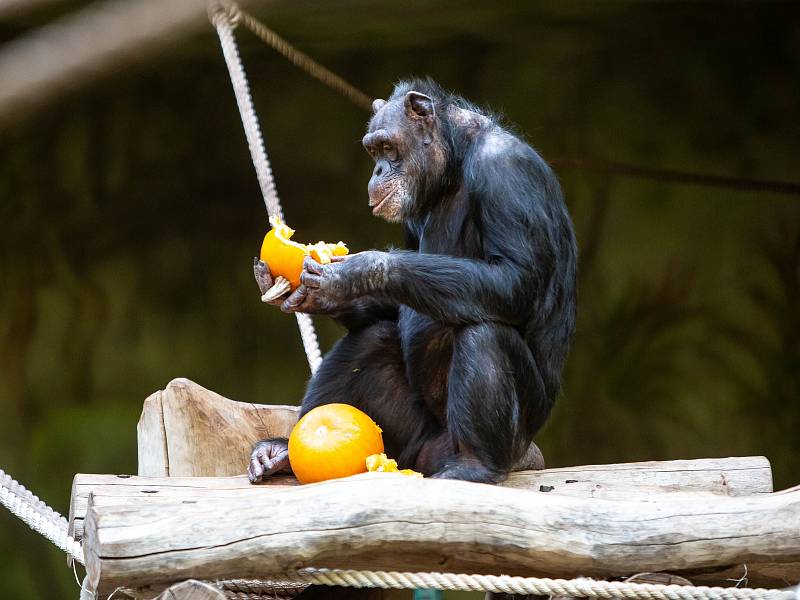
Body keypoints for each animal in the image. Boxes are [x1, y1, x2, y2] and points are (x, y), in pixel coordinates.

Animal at [248, 76, 576, 488]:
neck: (456, 162)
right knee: (374, 338)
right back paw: (281, 453)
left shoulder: (507, 172)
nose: (376, 172)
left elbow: (516, 279)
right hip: (406, 443)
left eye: (388, 147)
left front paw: (355, 274)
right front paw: (324, 298)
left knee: (484, 332)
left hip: (509, 438)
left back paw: (476, 465)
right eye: (373, 151)